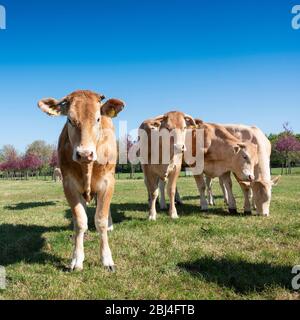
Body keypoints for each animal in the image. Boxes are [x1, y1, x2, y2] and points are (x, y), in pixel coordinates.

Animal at [38, 90, 125, 272]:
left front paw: (107, 259)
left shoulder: (107, 183)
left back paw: (110, 225)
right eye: (69, 120)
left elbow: (100, 220)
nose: (85, 153)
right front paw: (77, 258)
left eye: (98, 119)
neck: (87, 168)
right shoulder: (69, 185)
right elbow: (80, 220)